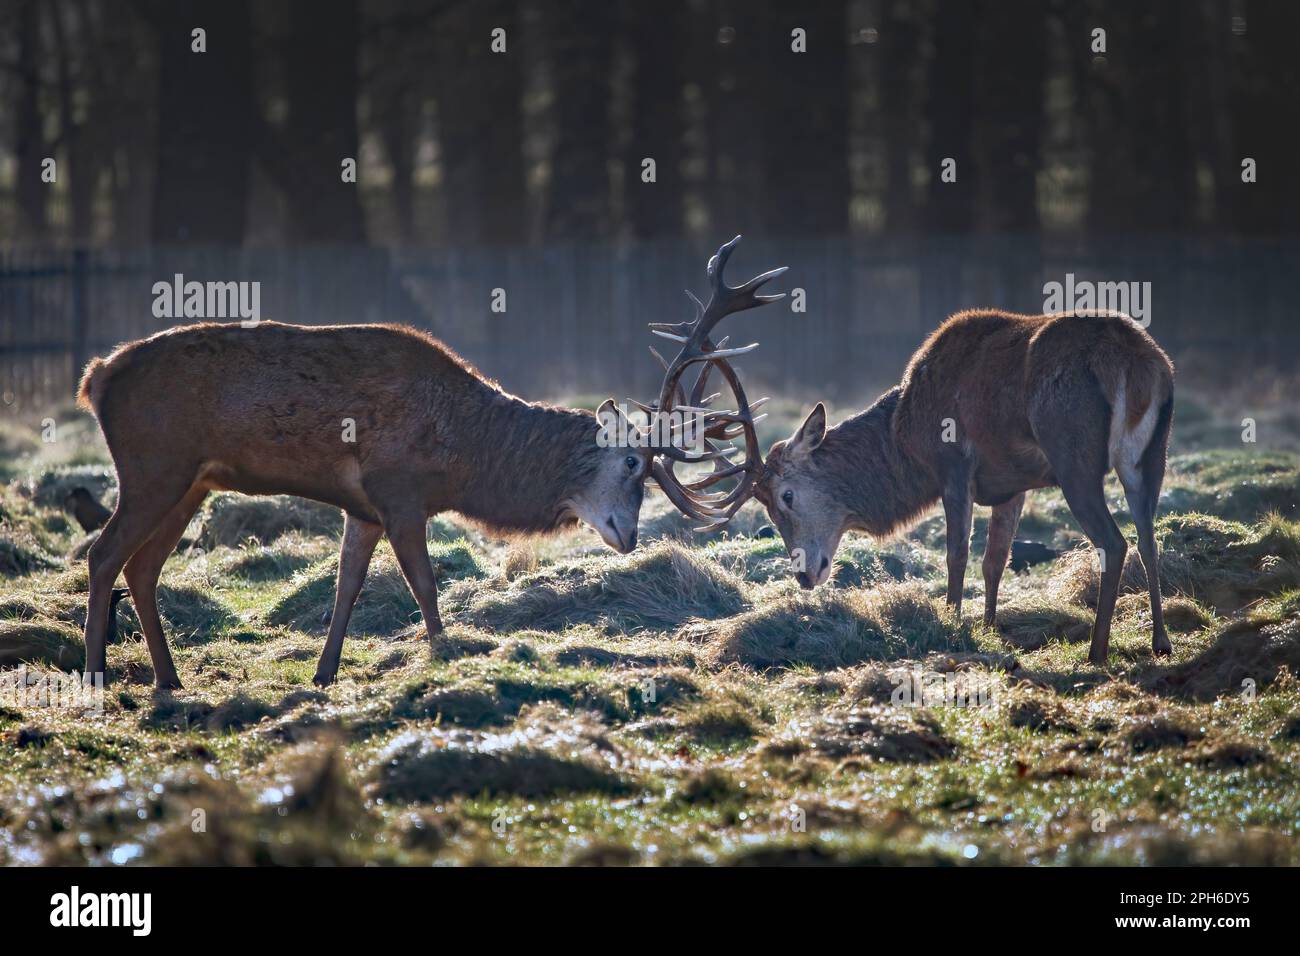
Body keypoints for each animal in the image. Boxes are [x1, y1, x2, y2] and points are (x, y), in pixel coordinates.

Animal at [670, 306, 1180, 665]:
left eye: (785, 497)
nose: (804, 575)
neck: (903, 441)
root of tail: (1136, 363)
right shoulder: (1014, 484)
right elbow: (995, 559)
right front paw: (989, 627)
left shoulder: (953, 464)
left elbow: (956, 553)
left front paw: (953, 626)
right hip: (1153, 454)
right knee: (1148, 536)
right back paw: (1160, 641)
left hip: (1073, 455)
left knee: (1114, 542)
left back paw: (1097, 650)